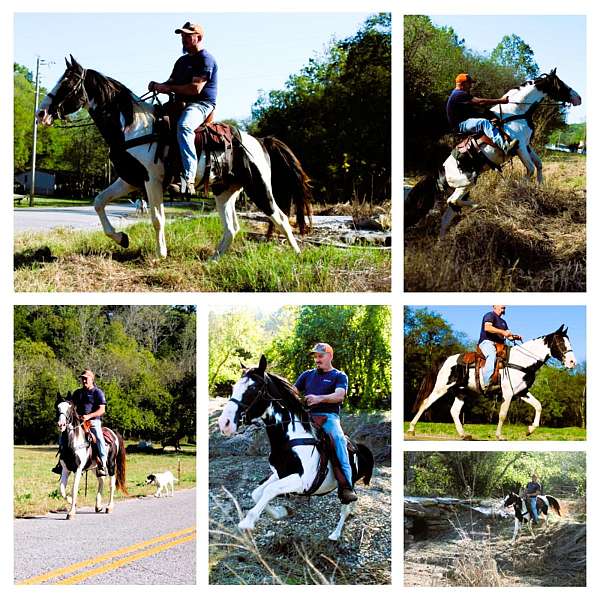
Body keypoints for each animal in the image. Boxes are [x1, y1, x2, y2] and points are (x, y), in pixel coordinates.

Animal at [36, 56, 314, 260]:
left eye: (67, 83)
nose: (41, 113)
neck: (132, 127)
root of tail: (260, 141)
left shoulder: (152, 181)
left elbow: (157, 219)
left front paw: (160, 254)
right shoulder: (129, 180)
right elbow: (98, 202)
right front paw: (122, 238)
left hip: (259, 187)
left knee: (280, 217)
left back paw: (297, 255)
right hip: (225, 191)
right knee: (232, 228)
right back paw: (213, 259)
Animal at [216, 354, 376, 540]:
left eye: (253, 388)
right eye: (234, 387)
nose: (224, 423)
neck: (289, 440)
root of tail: (359, 447)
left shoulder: (302, 481)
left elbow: (270, 490)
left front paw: (247, 522)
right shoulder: (279, 474)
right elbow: (257, 493)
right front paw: (281, 512)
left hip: (348, 484)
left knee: (345, 507)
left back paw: (335, 534)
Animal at [406, 71, 584, 237]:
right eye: (561, 84)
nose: (579, 98)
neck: (516, 111)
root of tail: (440, 173)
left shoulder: (527, 145)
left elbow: (538, 164)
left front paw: (540, 188)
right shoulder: (520, 147)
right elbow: (530, 169)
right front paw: (519, 190)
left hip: (463, 190)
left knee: (448, 215)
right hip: (468, 182)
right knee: (453, 201)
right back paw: (478, 205)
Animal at [408, 328, 576, 440]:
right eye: (560, 342)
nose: (572, 362)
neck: (522, 361)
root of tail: (445, 360)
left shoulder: (522, 393)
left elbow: (538, 405)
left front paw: (529, 430)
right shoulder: (508, 393)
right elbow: (502, 414)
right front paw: (499, 435)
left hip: (461, 392)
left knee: (454, 411)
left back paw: (464, 434)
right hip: (441, 388)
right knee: (425, 403)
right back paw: (411, 430)